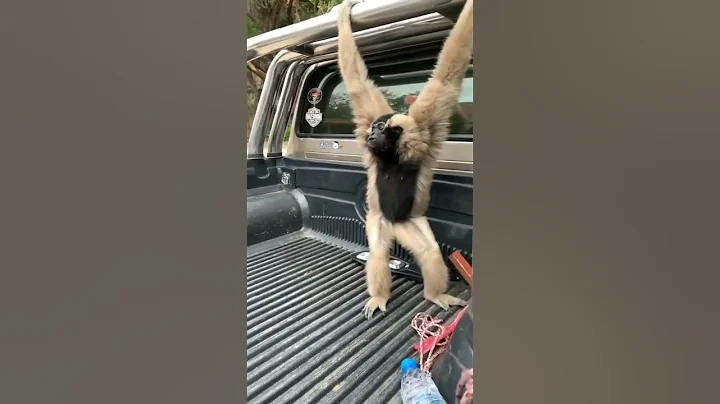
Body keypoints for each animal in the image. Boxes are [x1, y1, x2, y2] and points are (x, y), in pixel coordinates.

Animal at [336, 0, 474, 318]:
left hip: (411, 221)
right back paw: (379, 295)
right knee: (378, 252)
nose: (373, 134)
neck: (394, 155)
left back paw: (435, 294)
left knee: (429, 252)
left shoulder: (425, 129)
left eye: (383, 128)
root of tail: (397, 226)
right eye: (374, 127)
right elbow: (358, 83)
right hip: (379, 218)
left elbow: (445, 80)